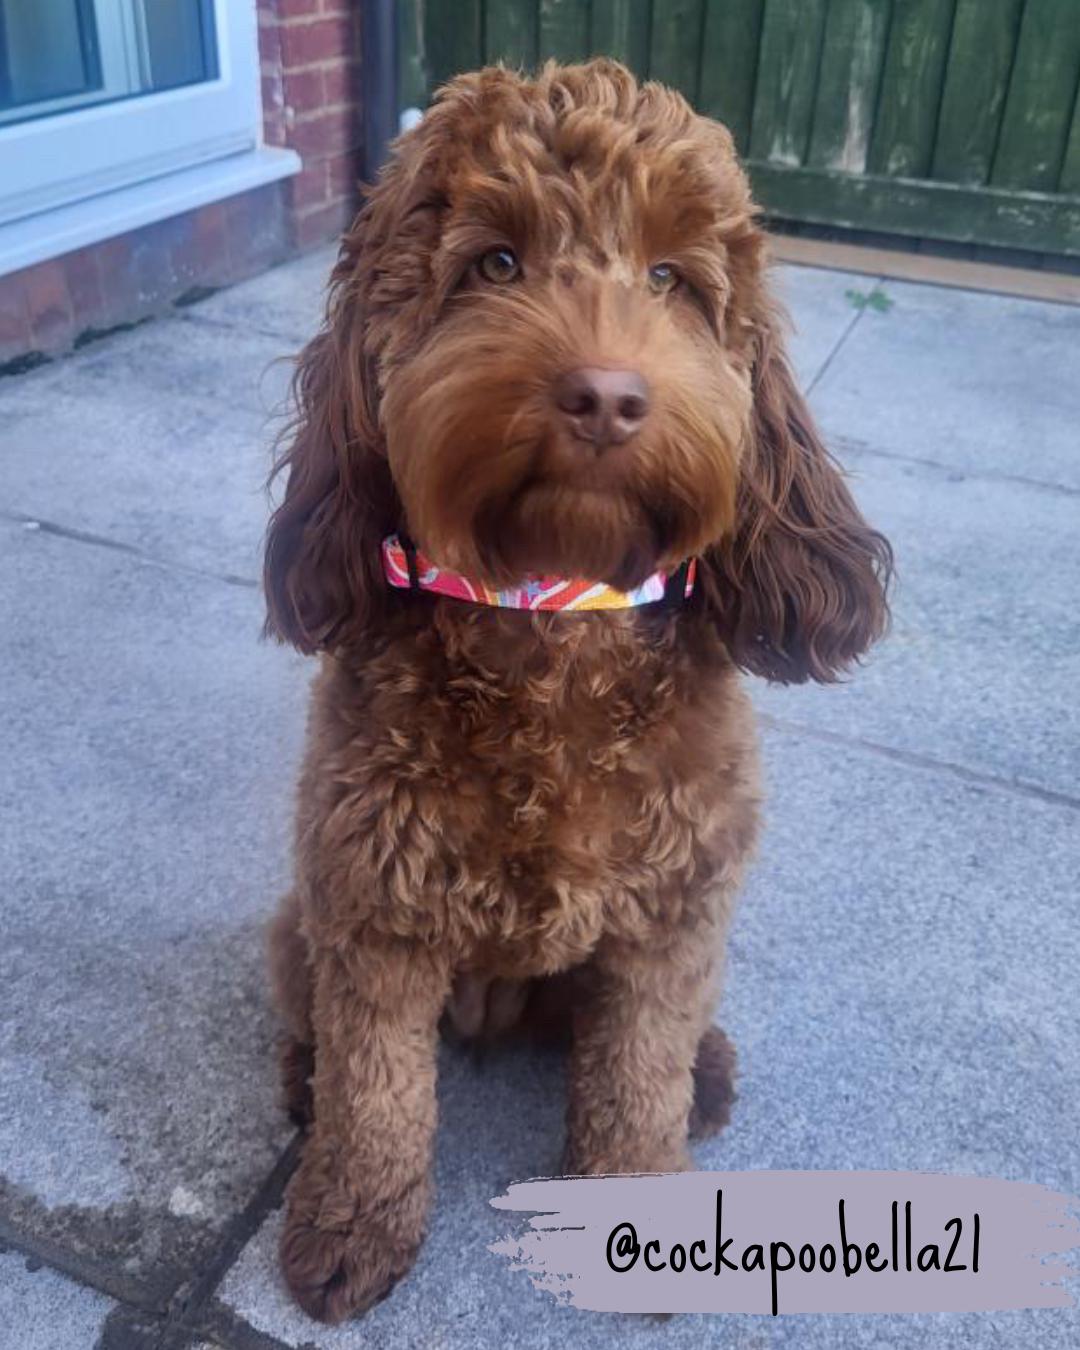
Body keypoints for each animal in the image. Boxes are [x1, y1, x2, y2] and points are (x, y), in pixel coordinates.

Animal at [263, 60, 896, 1317]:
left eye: (669, 280)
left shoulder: (675, 916)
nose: (606, 396)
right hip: (299, 924)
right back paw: (304, 1085)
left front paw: (644, 1195)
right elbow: (377, 1090)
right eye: (496, 263)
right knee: (316, 1023)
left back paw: (707, 1071)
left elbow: (637, 1068)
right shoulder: (372, 911)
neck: (551, 611)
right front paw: (351, 1223)